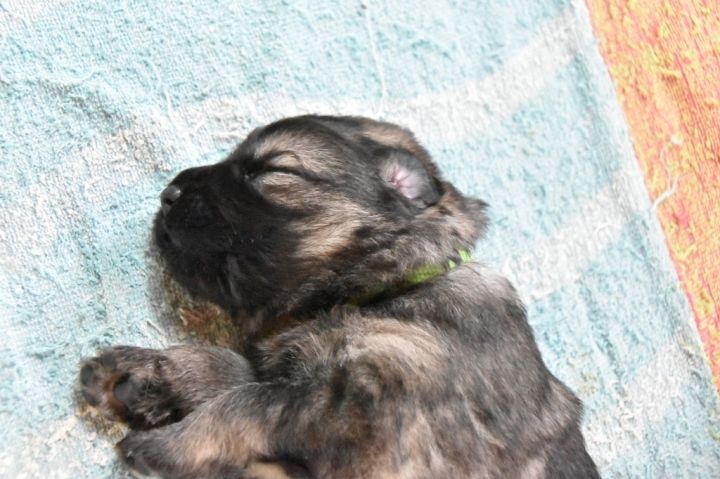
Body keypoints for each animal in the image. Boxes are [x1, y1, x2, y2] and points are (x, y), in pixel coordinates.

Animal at [78, 115, 600, 478]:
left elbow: (250, 401)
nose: (168, 193)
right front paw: (147, 373)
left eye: (273, 169)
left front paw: (168, 445)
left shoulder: (367, 409)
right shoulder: (307, 375)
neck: (385, 292)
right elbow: (232, 370)